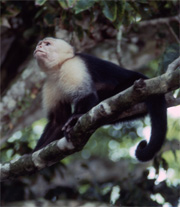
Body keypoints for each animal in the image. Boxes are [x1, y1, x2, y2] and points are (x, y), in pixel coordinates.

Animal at [33, 36, 167, 161]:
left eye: (47, 44)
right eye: (40, 44)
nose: (39, 47)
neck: (58, 68)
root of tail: (146, 79)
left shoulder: (72, 66)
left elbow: (86, 95)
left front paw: (75, 118)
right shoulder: (50, 83)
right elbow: (58, 121)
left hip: (133, 86)